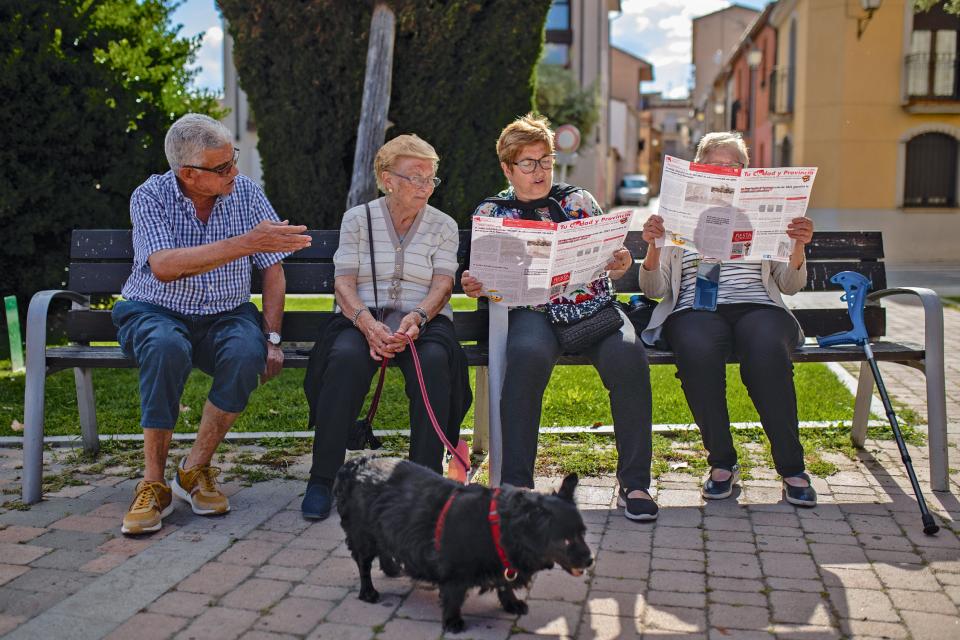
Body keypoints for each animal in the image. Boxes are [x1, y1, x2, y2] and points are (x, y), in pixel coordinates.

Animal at [336, 458, 592, 632]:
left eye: (583, 533)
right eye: (565, 540)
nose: (590, 560)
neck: (498, 527)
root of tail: (356, 463)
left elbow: (504, 585)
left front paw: (511, 603)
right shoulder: (454, 573)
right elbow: (454, 596)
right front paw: (452, 621)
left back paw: (391, 569)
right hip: (363, 535)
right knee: (364, 565)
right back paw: (368, 592)